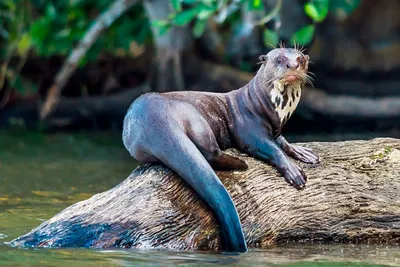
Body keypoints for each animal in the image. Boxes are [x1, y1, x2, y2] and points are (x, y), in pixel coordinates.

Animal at [122, 47, 318, 253]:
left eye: (301, 59)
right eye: (279, 59)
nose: (293, 65)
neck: (264, 106)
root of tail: (155, 118)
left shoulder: (277, 129)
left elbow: (282, 142)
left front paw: (303, 152)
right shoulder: (249, 131)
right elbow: (271, 147)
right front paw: (294, 172)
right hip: (195, 117)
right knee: (210, 152)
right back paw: (241, 163)